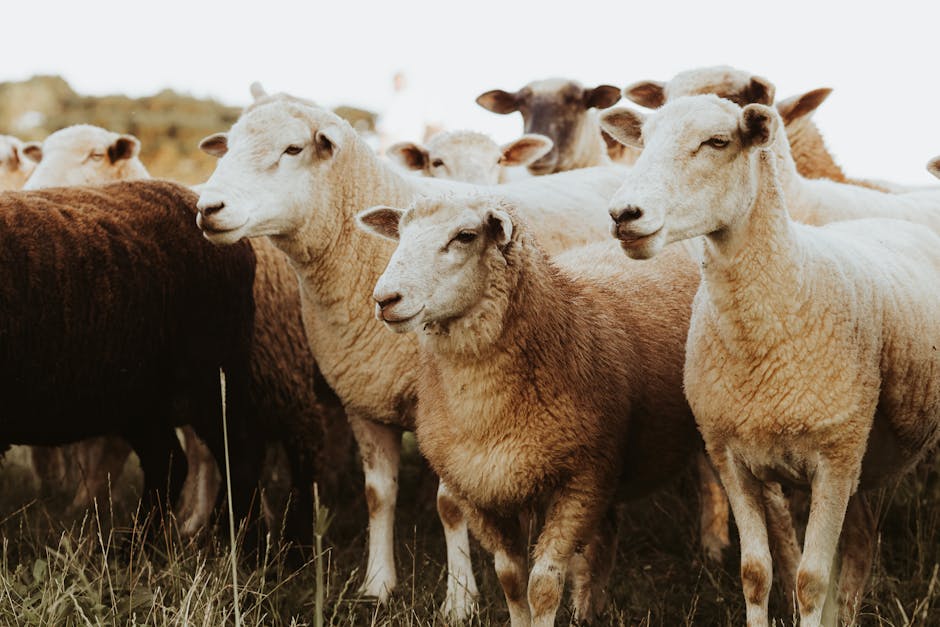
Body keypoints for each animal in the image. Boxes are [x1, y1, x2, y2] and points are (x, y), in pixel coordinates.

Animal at [0, 180, 263, 526]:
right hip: (140, 398)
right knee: (167, 462)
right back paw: (139, 537)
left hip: (215, 376)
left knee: (241, 460)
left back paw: (238, 536)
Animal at [356, 194, 707, 625]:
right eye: (401, 233)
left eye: (465, 236)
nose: (385, 299)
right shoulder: (482, 491)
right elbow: (510, 578)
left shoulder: (580, 481)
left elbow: (542, 584)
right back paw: (589, 608)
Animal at [604, 94, 940, 627]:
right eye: (645, 140)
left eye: (717, 141)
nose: (623, 214)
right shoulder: (731, 458)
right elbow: (756, 574)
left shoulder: (833, 461)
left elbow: (809, 580)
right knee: (861, 545)